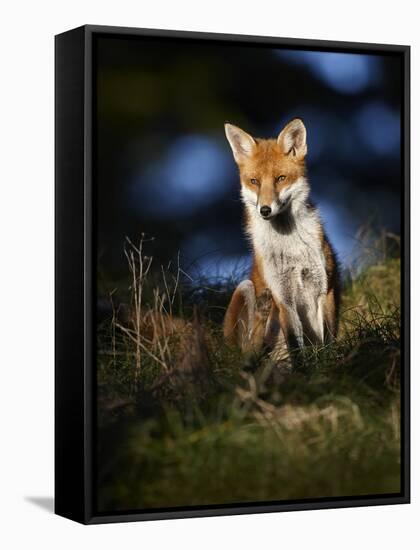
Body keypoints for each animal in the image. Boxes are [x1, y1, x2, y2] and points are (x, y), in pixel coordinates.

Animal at [225, 118, 340, 356]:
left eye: (280, 178)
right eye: (254, 181)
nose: (265, 210)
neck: (291, 245)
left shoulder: (325, 289)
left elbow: (328, 340)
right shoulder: (283, 299)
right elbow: (295, 346)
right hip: (244, 288)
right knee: (248, 350)